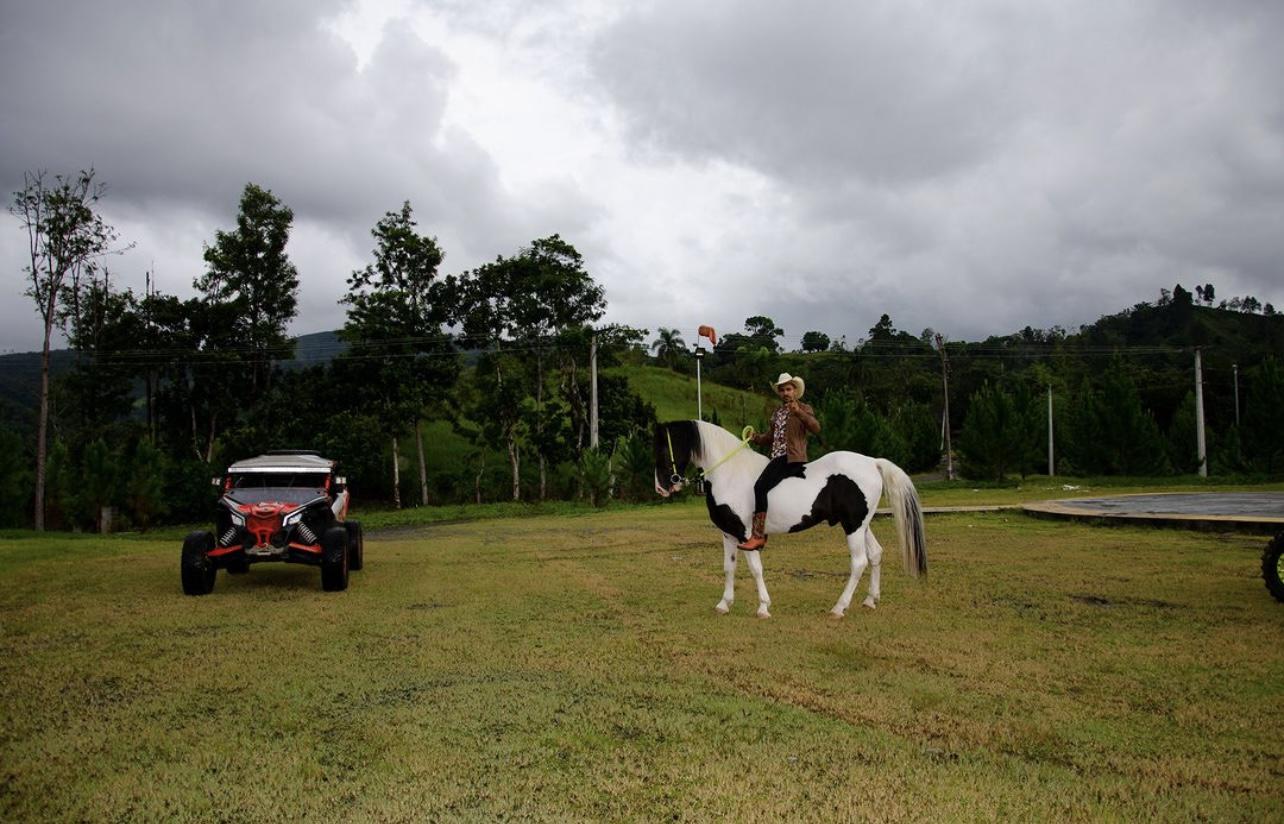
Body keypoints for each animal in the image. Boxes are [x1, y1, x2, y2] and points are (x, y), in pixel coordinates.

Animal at [652, 420, 924, 613]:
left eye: (665, 449)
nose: (661, 488)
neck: (730, 473)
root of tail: (872, 462)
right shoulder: (728, 534)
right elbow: (729, 568)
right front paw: (724, 604)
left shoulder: (745, 534)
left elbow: (755, 569)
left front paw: (763, 607)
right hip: (862, 524)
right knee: (876, 554)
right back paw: (870, 600)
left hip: (853, 527)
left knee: (859, 562)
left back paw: (839, 607)